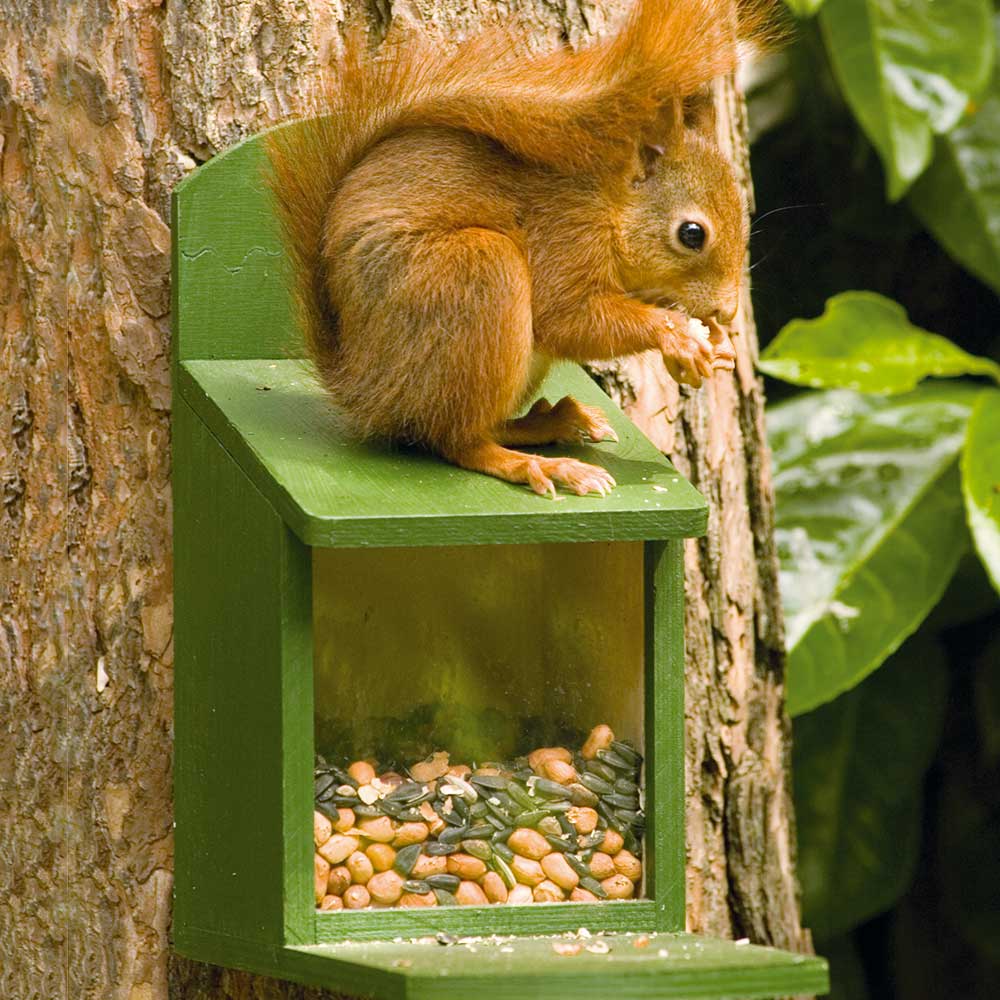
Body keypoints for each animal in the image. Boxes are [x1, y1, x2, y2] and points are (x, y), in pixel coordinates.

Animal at [270, 0, 768, 498]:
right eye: (692, 234)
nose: (726, 311)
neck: (610, 207)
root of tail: (361, 386)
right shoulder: (564, 235)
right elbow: (565, 319)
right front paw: (676, 333)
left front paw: (718, 348)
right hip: (479, 272)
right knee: (457, 440)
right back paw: (539, 465)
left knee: (470, 425)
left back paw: (553, 423)